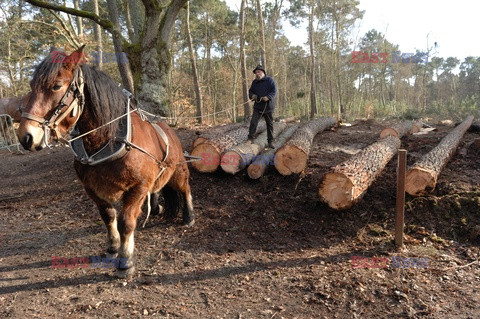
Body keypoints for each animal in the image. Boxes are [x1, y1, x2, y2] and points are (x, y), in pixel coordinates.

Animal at [18, 47, 195, 278]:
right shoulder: (91, 188)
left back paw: (188, 216)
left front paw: (125, 260)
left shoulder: (138, 187)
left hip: (178, 171)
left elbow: (126, 222)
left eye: (56, 85)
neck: (107, 139)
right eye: (32, 86)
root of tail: (170, 130)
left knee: (185, 188)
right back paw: (156, 208)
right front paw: (112, 248)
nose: (26, 137)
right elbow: (108, 216)